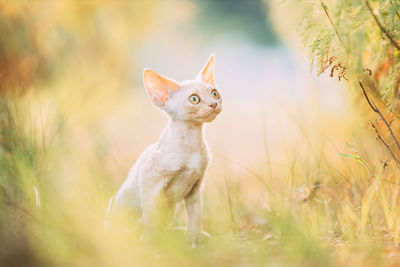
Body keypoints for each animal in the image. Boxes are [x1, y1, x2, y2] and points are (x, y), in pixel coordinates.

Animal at [106, 55, 222, 247]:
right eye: (194, 99)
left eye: (214, 93)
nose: (214, 104)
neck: (192, 145)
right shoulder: (149, 183)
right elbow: (151, 217)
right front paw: (150, 240)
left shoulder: (196, 187)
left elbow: (196, 214)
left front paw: (194, 237)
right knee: (127, 228)